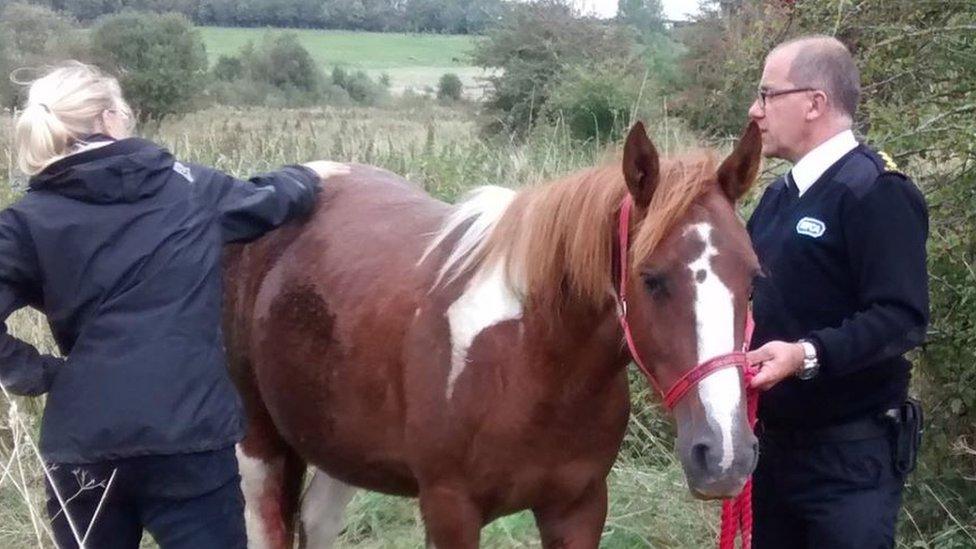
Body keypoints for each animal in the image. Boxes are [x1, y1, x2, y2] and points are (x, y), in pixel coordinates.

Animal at [221, 121, 764, 548]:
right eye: (651, 278)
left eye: (754, 279)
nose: (724, 456)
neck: (529, 359)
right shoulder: (450, 509)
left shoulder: (579, 507)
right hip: (261, 446)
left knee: (318, 519)